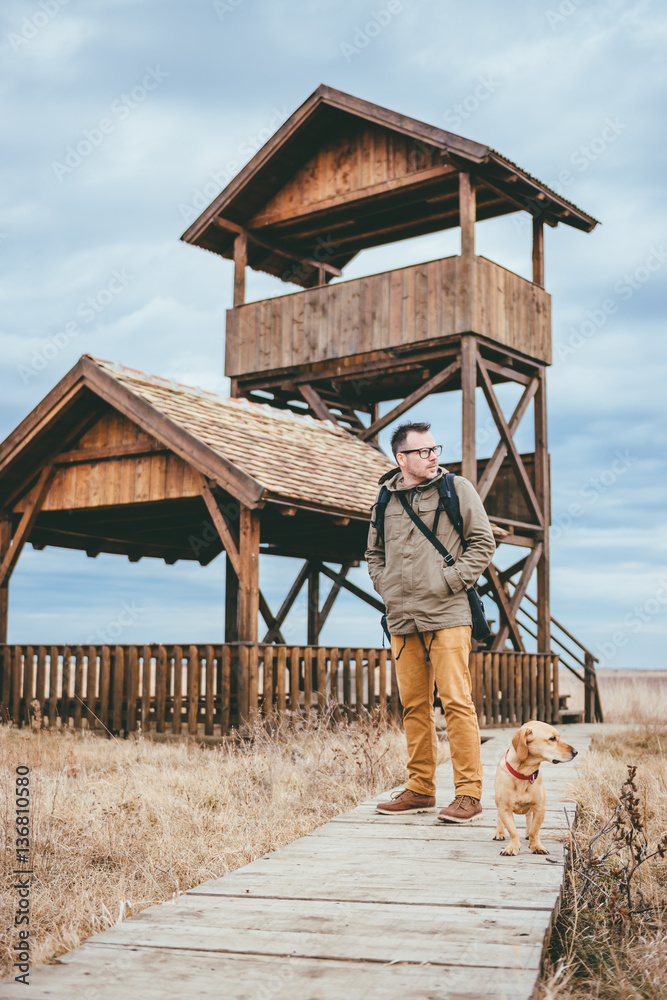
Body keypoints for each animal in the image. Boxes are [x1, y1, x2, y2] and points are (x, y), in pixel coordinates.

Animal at [494, 724, 576, 856]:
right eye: (552, 738)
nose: (576, 752)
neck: (524, 774)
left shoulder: (539, 808)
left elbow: (534, 830)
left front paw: (536, 846)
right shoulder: (504, 809)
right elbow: (513, 831)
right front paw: (513, 847)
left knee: (529, 818)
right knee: (499, 818)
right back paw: (499, 833)